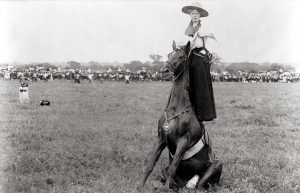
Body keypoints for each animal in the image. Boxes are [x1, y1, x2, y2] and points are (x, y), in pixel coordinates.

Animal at [139, 40, 221, 190]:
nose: (164, 71)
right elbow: (150, 164)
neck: (176, 109)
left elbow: (173, 167)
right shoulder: (160, 139)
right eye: (169, 54)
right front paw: (140, 186)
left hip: (215, 165)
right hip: (167, 169)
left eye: (182, 57)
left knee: (199, 185)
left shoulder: (183, 141)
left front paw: (164, 189)